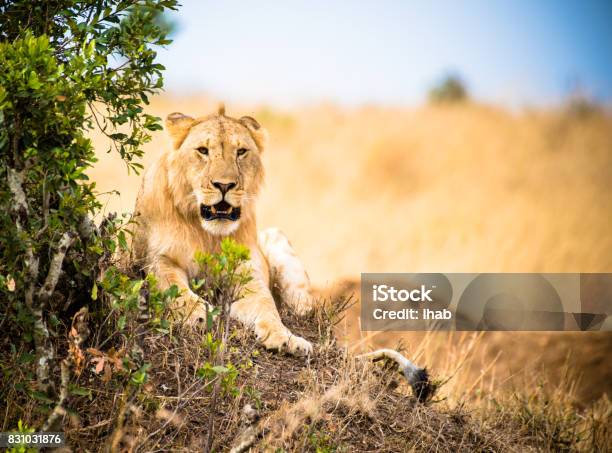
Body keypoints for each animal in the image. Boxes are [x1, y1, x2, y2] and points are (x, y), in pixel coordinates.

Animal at [127, 105, 314, 354]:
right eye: (203, 151)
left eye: (241, 152)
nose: (224, 185)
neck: (209, 234)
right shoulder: (156, 258)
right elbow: (174, 287)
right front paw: (198, 315)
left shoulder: (248, 272)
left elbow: (266, 304)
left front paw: (285, 337)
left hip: (276, 236)